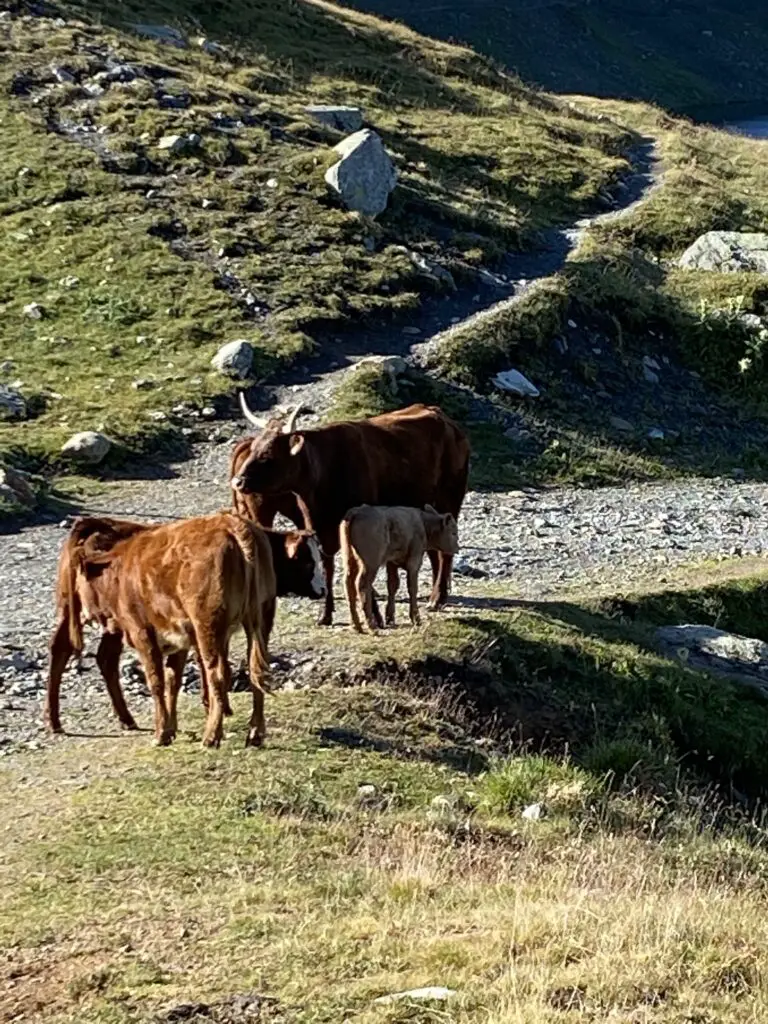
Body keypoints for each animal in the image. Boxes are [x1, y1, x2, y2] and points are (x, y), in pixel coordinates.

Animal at [47, 516, 325, 749]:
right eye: (308, 560)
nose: (323, 590)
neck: (121, 569)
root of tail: (235, 526)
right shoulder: (178, 636)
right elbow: (172, 680)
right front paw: (173, 726)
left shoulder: (144, 632)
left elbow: (159, 681)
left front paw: (163, 731)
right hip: (255, 619)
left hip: (210, 624)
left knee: (220, 673)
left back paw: (211, 735)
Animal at [230, 397, 468, 622]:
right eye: (254, 449)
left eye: (268, 455)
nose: (238, 481)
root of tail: (441, 415)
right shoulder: (318, 530)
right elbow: (327, 569)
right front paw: (325, 615)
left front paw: (375, 616)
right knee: (434, 550)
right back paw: (436, 595)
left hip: (450, 499)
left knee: (445, 552)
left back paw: (437, 598)